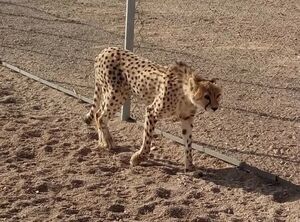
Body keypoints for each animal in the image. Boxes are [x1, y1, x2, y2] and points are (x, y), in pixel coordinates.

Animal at [83, 46, 221, 171]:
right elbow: (148, 139)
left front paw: (190, 165)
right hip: (117, 94)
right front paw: (138, 158)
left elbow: (188, 142)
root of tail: (106, 50)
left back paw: (102, 142)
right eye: (206, 96)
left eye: (218, 95)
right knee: (101, 116)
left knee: (98, 114)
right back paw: (108, 142)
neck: (186, 94)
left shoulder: (187, 117)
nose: (215, 108)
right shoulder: (152, 111)